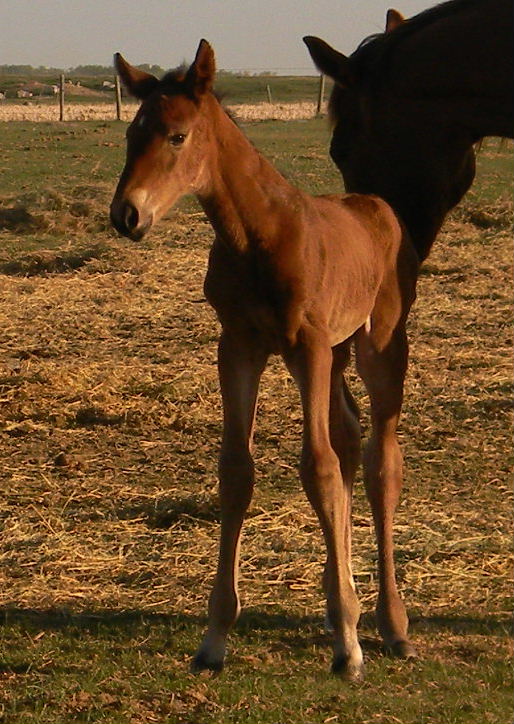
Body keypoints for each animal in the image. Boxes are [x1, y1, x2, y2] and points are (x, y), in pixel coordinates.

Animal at [110, 40, 419, 680]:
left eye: (176, 136)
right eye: (131, 133)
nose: (125, 215)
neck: (259, 235)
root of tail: (377, 206)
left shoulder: (305, 345)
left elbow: (318, 469)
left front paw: (349, 647)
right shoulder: (239, 345)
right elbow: (237, 471)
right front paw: (214, 638)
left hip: (377, 344)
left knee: (380, 460)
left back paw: (391, 624)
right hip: (336, 352)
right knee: (349, 439)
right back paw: (346, 602)